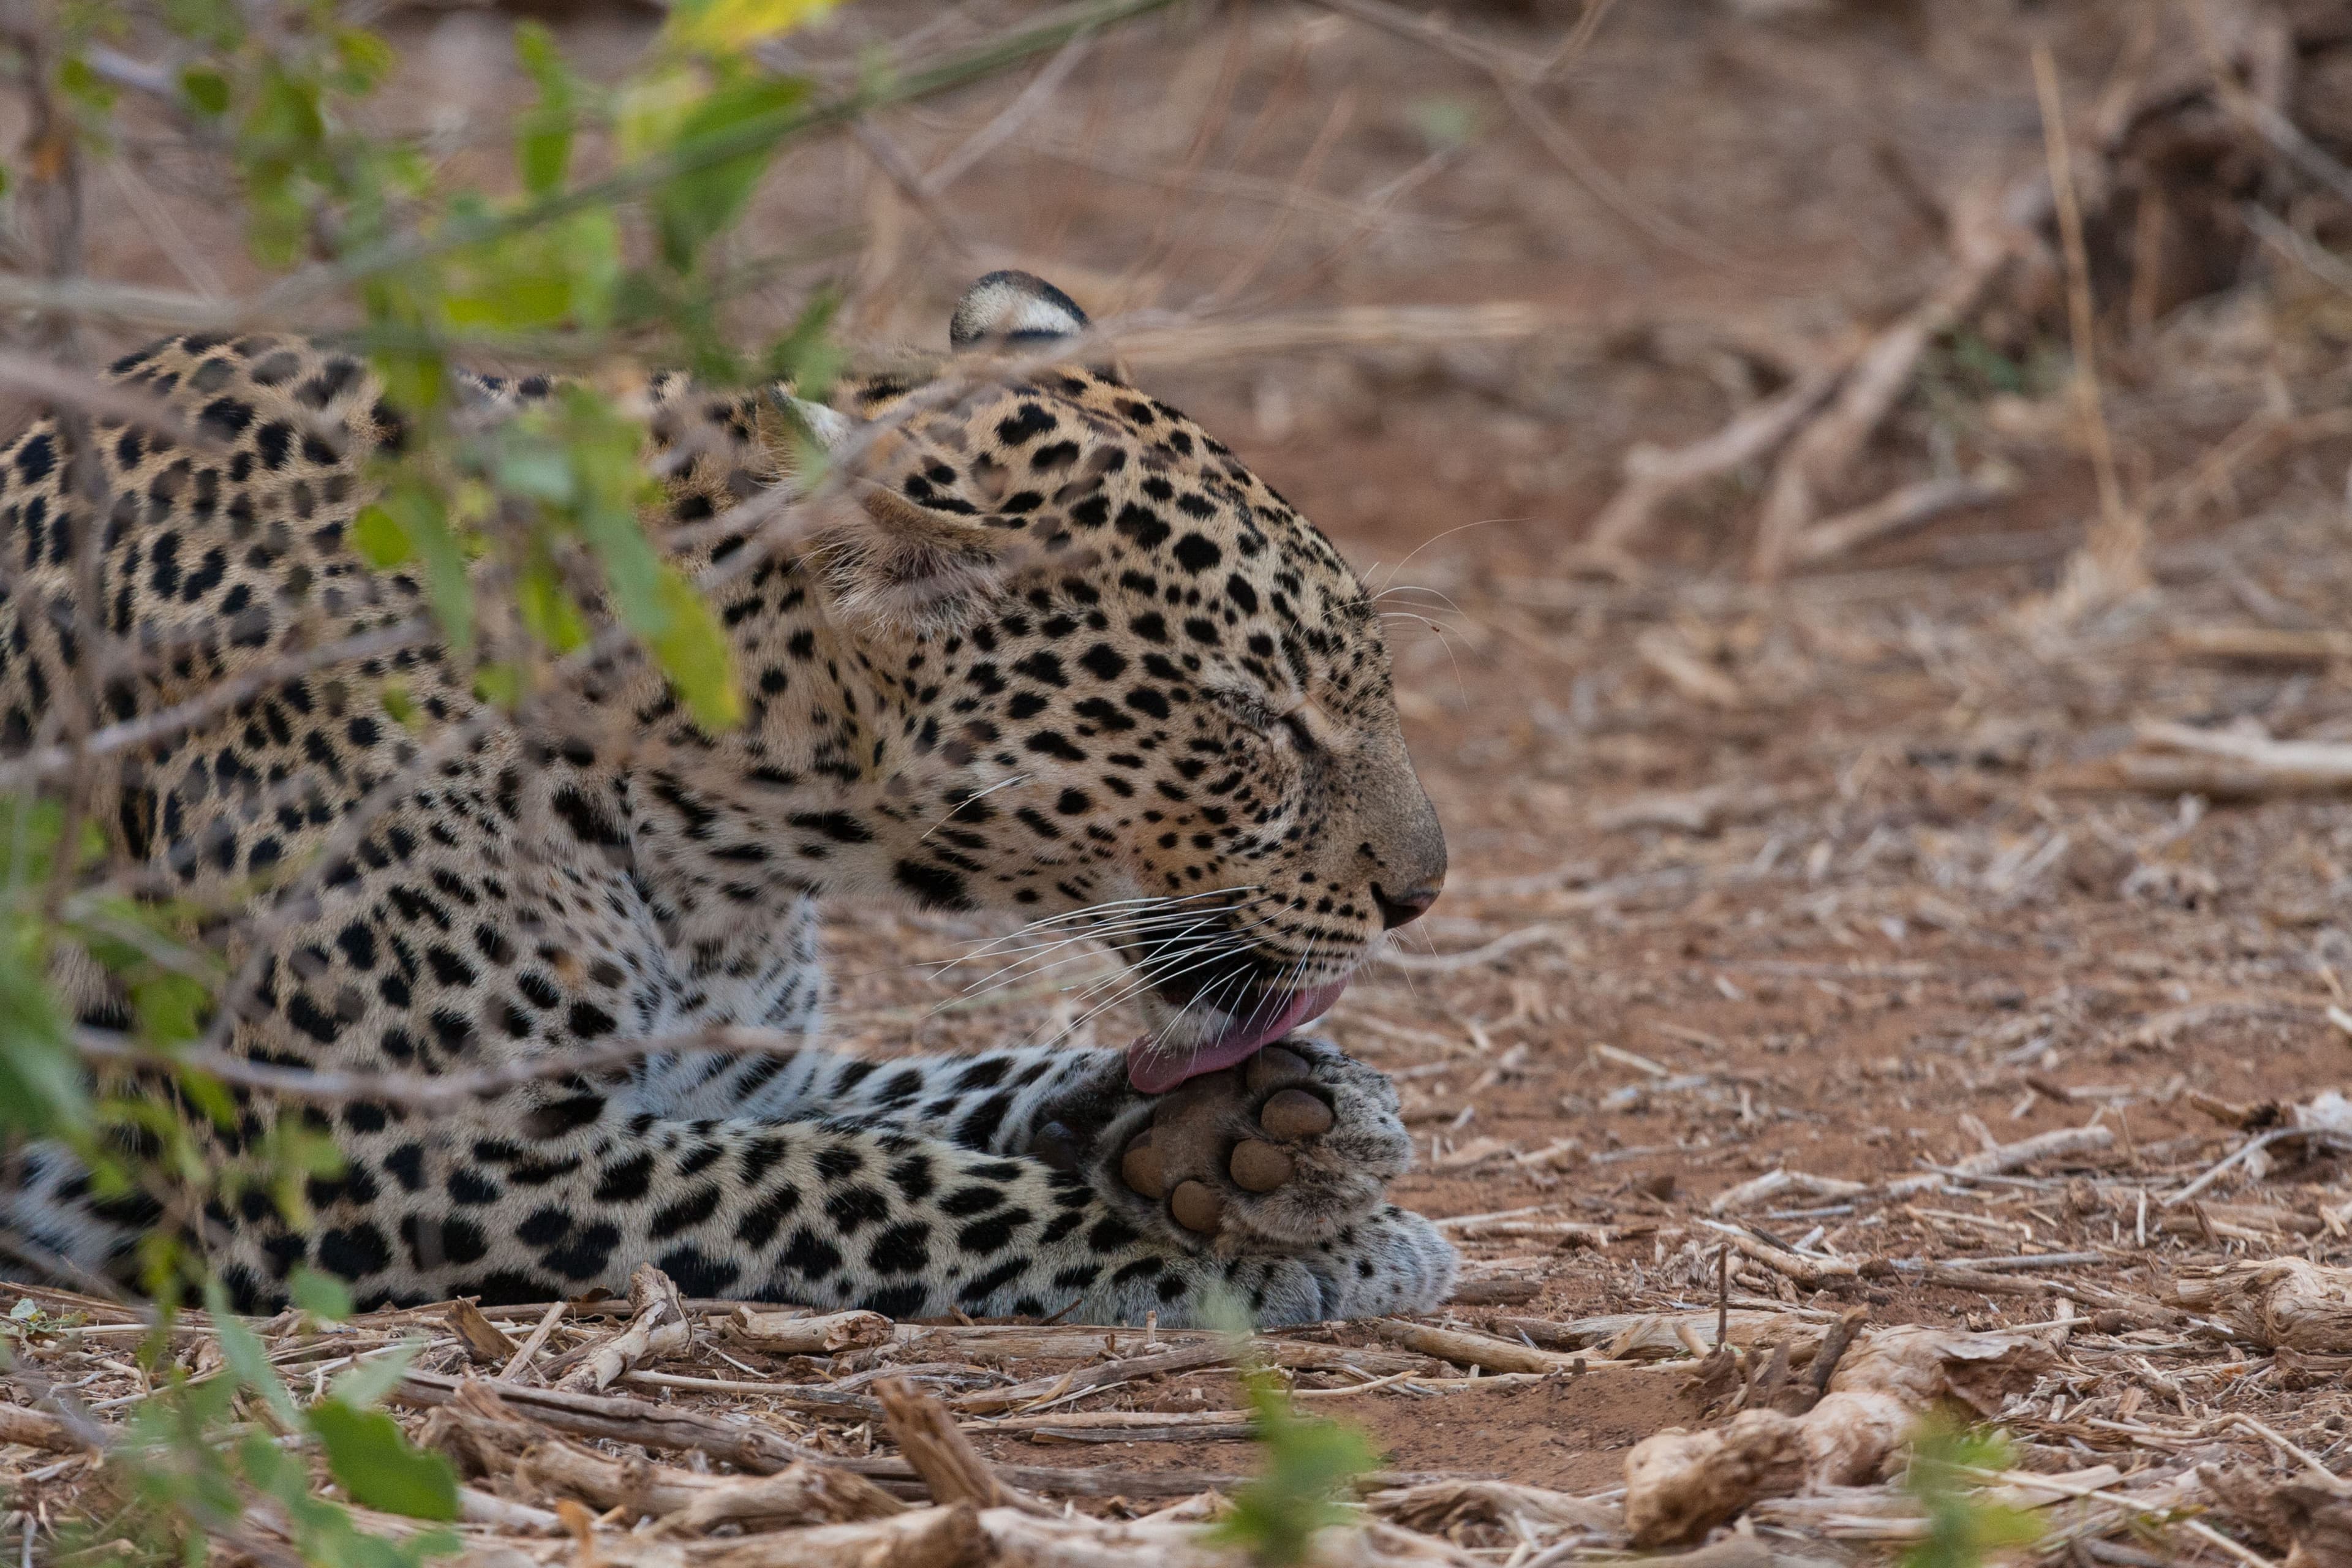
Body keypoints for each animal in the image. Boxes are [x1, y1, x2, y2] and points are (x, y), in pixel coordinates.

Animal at [0, 270, 1458, 1326]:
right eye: (1255, 715)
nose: (1422, 892)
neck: (723, 840)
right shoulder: (399, 1154)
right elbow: (875, 1179)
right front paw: (1288, 1251)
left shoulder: (731, 1061)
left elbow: (927, 1086)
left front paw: (1262, 1132)